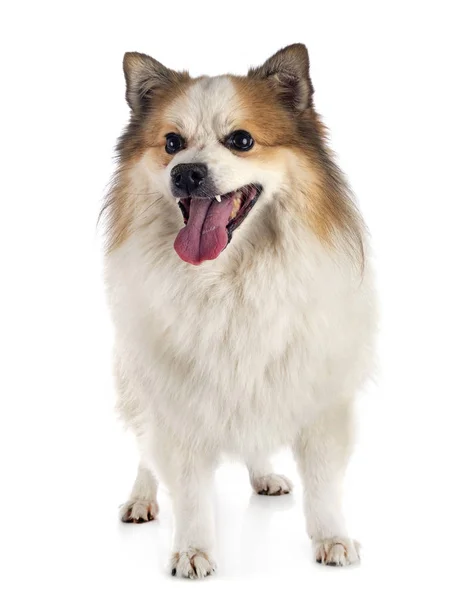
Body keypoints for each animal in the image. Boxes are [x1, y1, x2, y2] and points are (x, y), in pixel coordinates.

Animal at [103, 44, 378, 580]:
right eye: (171, 143)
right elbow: (188, 487)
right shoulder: (176, 400)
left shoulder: (317, 390)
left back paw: (265, 475)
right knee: (146, 454)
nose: (186, 172)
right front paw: (192, 548)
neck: (230, 276)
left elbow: (322, 479)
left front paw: (332, 537)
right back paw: (142, 499)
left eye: (242, 140)